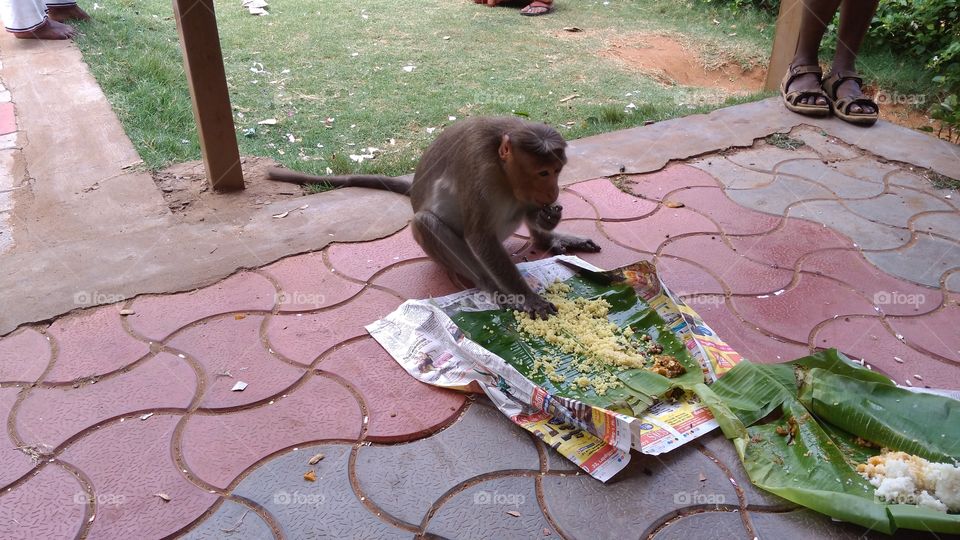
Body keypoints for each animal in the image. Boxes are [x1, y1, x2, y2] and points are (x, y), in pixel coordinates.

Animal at [268, 116, 601, 318]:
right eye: (543, 172)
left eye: (557, 170)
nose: (553, 191)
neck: (501, 159)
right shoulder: (481, 171)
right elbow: (479, 236)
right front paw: (526, 297)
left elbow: (528, 207)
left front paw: (550, 220)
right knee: (426, 223)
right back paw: (490, 286)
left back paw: (547, 240)